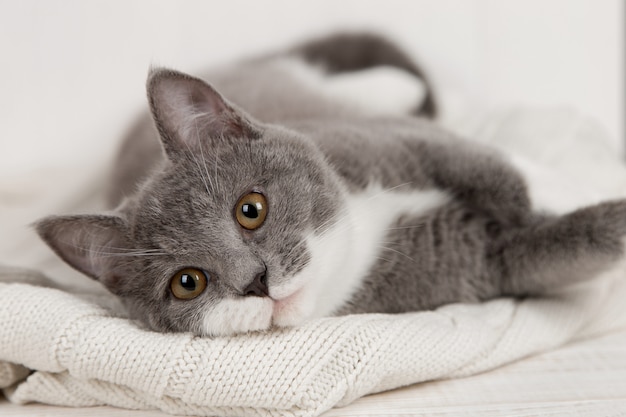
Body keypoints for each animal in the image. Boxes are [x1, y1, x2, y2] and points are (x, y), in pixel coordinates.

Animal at [34, 34, 624, 336]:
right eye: (187, 283)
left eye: (250, 208)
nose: (256, 280)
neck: (365, 226)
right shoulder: (473, 261)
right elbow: (562, 247)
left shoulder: (389, 140)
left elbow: (493, 169)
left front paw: (564, 180)